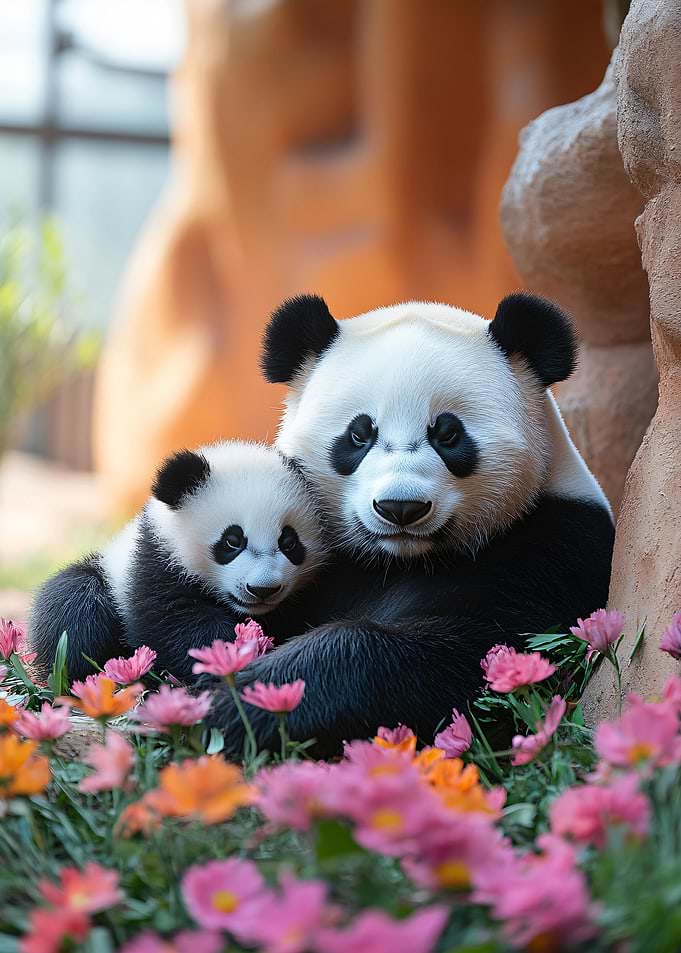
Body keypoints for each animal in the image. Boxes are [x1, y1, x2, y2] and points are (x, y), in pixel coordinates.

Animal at [29, 441, 326, 683]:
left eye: (289, 542)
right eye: (232, 541)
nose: (263, 589)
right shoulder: (155, 563)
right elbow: (173, 623)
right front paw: (224, 655)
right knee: (74, 608)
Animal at [207, 292, 616, 758]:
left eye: (448, 435)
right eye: (359, 434)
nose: (400, 507)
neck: (400, 560)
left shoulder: (551, 551)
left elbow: (464, 657)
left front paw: (236, 709)